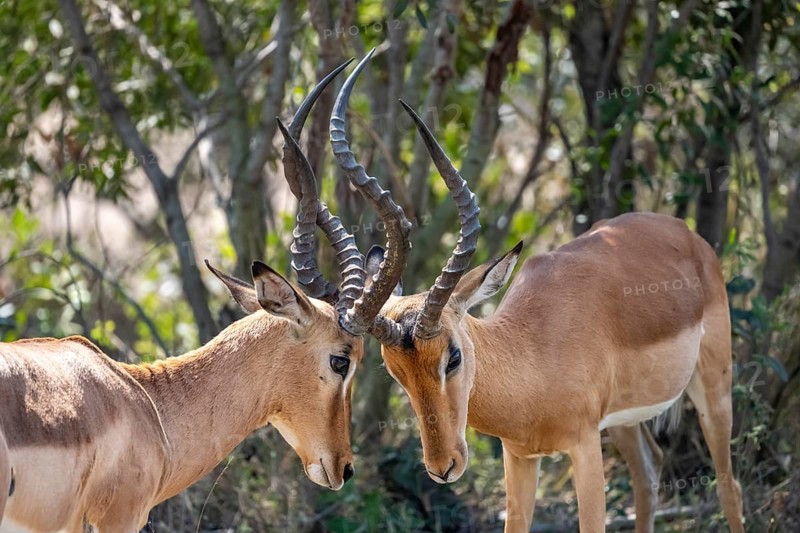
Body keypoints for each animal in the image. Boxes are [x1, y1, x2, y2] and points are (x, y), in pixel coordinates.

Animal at [333, 55, 745, 532]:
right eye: (395, 372)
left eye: (452, 356)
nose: (443, 466)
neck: (532, 353)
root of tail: (687, 235)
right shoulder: (520, 456)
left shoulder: (584, 447)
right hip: (624, 419)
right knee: (650, 471)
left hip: (713, 386)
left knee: (728, 486)